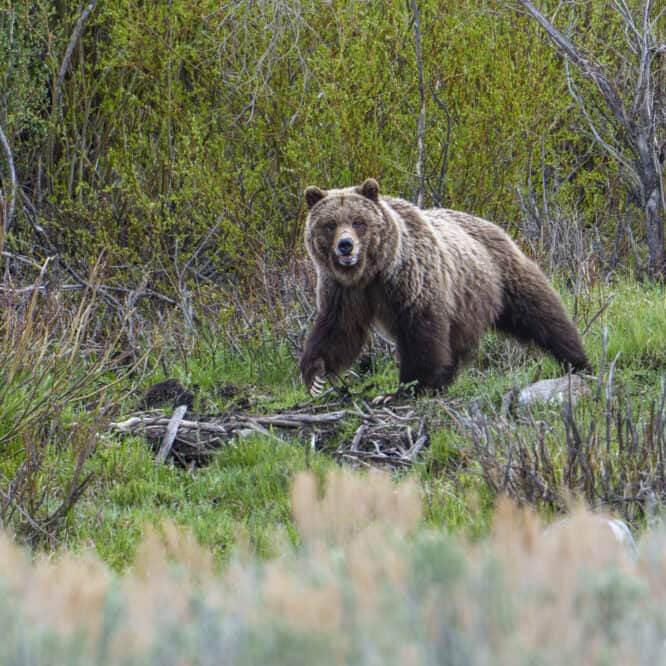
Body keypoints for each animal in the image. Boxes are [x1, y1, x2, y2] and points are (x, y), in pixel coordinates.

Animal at [299, 178, 591, 397]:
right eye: (330, 224)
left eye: (358, 221)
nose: (345, 245)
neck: (374, 272)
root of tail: (493, 225)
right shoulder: (343, 291)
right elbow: (338, 330)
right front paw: (316, 376)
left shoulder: (412, 280)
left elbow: (421, 332)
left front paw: (410, 387)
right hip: (465, 303)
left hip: (501, 275)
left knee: (541, 314)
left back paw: (578, 361)